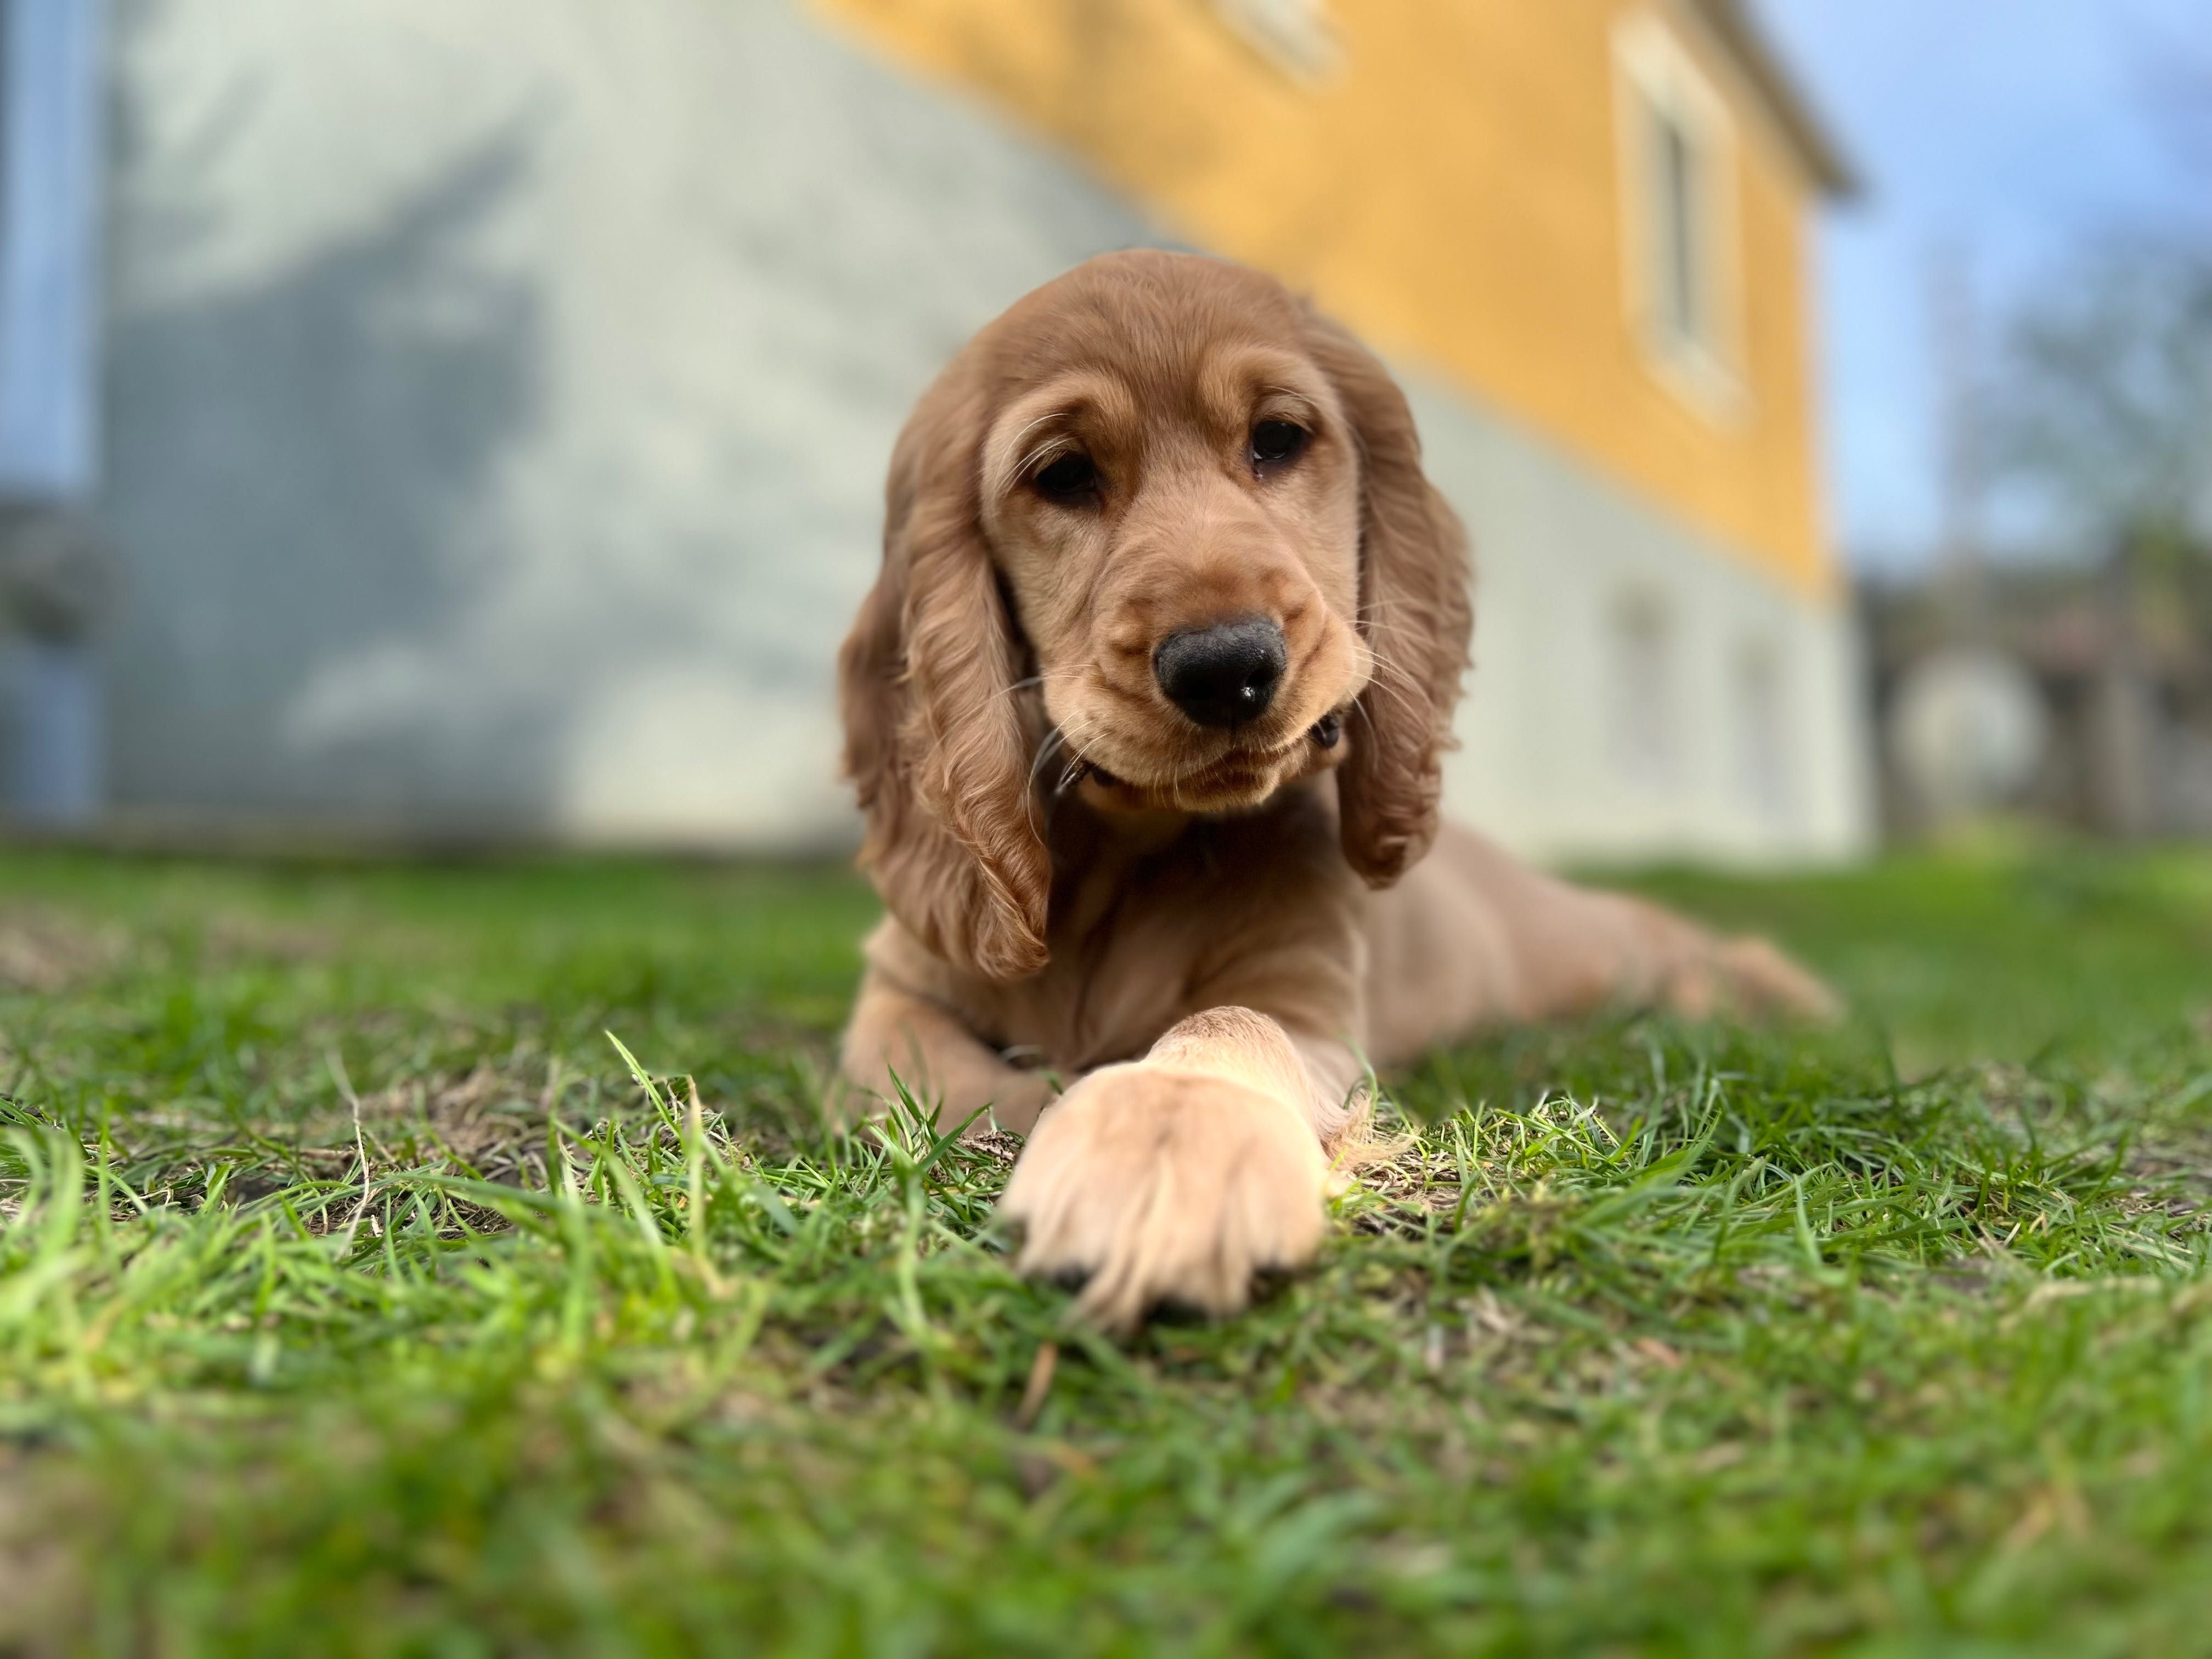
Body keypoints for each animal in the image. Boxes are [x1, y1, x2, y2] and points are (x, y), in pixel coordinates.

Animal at [832, 253, 1831, 1336]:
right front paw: (1045, 1103)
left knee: (1683, 942)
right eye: (1062, 476)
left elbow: (1233, 1023)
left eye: (1277, 439)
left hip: (1591, 942)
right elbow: (922, 1064)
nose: (1226, 667)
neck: (1130, 856)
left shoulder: (1307, 999)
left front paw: (1160, 1139)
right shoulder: (899, 982)